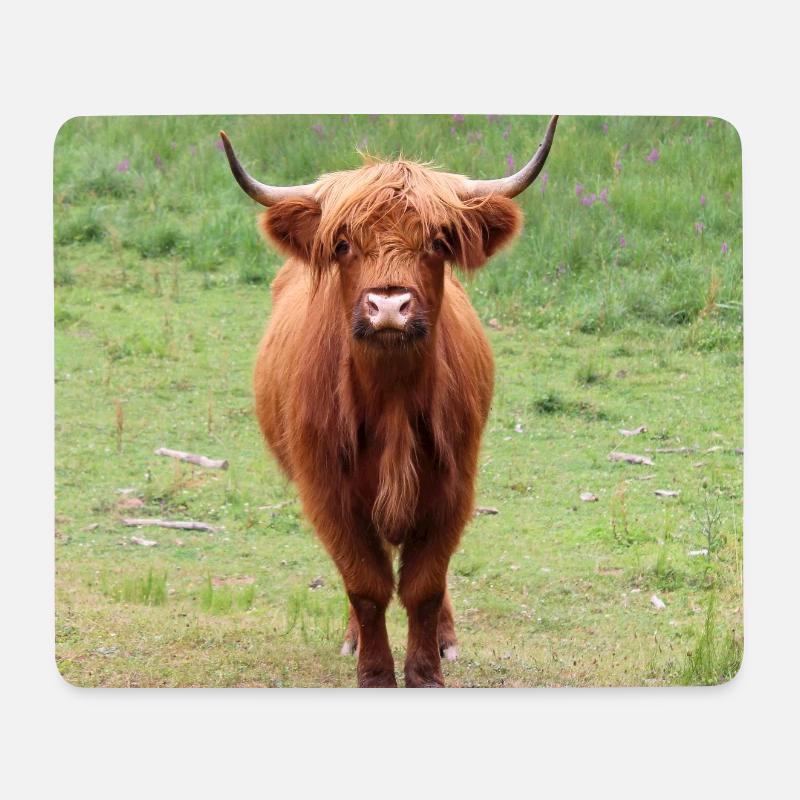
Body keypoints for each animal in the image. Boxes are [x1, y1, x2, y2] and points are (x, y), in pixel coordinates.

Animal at [220, 116, 558, 687]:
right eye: (342, 244)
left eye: (438, 241)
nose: (389, 306)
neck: (393, 399)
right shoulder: (329, 494)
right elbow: (365, 584)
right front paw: (375, 672)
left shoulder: (452, 487)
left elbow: (425, 585)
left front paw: (425, 672)